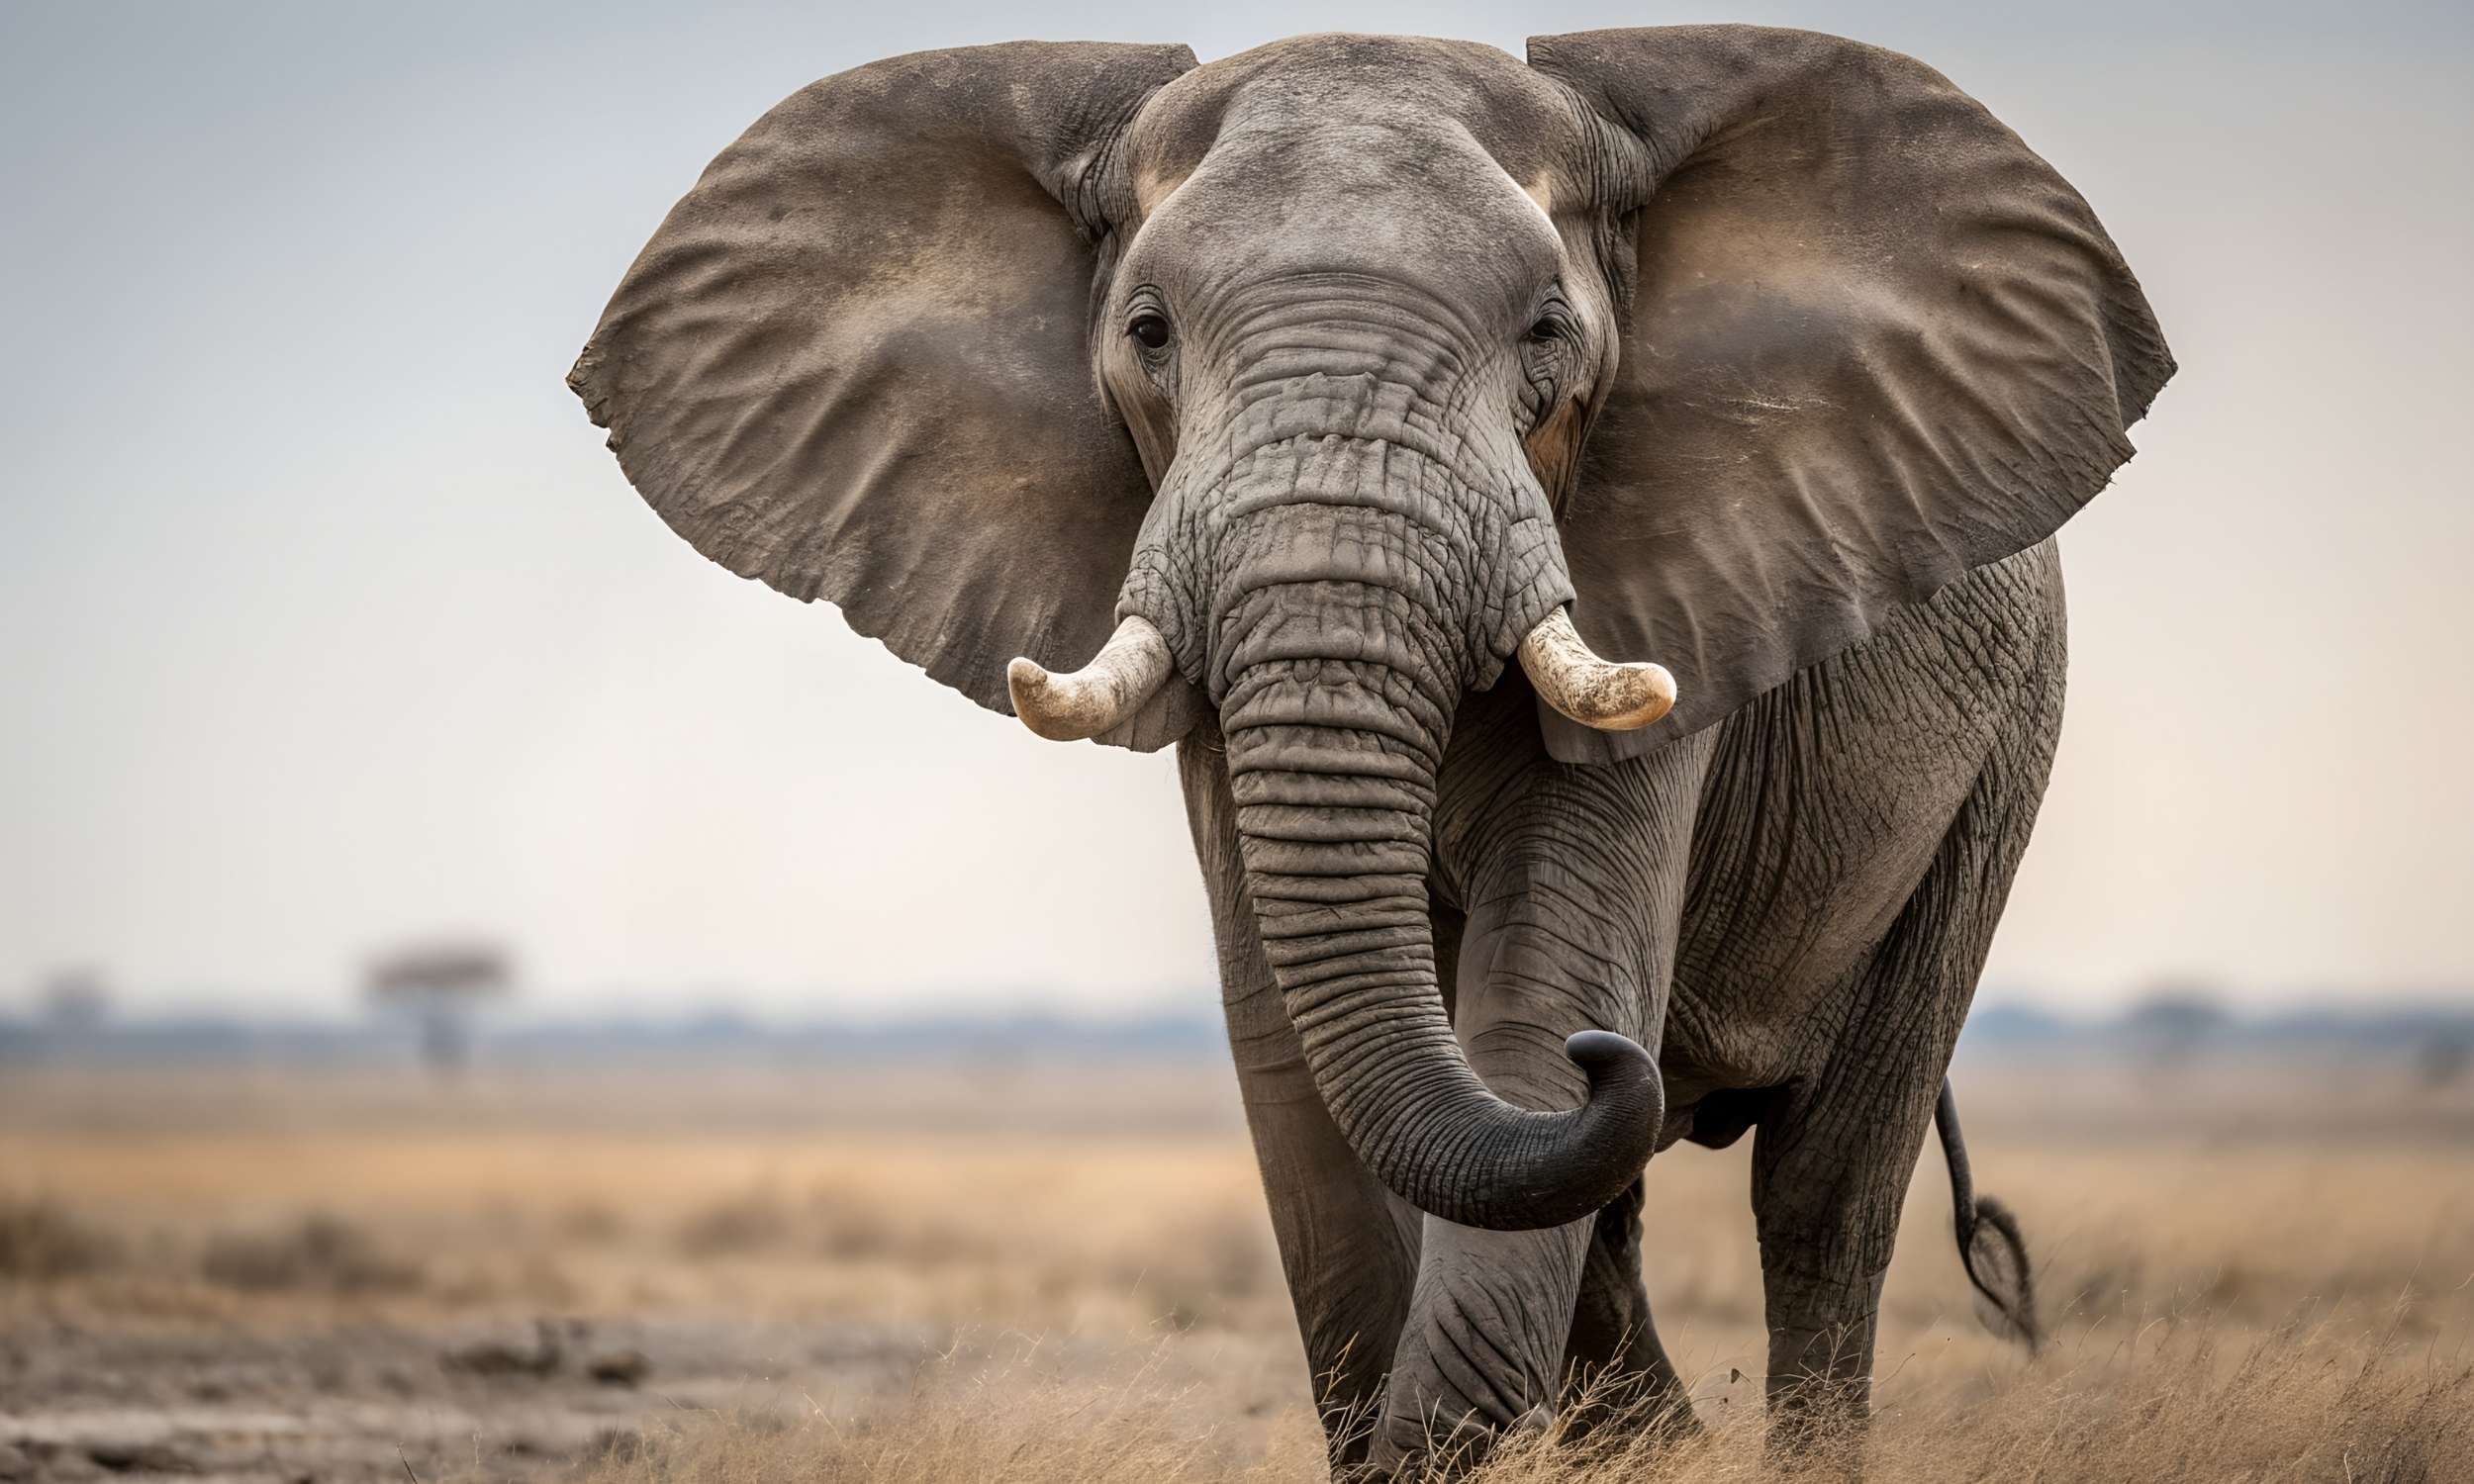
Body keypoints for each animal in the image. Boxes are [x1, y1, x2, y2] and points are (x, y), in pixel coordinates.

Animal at [570, 25, 2171, 1472]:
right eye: (1147, 331)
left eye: (1547, 333)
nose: (1605, 1061)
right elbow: (1294, 1062)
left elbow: (1535, 989)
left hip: (2000, 753)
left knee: (1826, 1191)